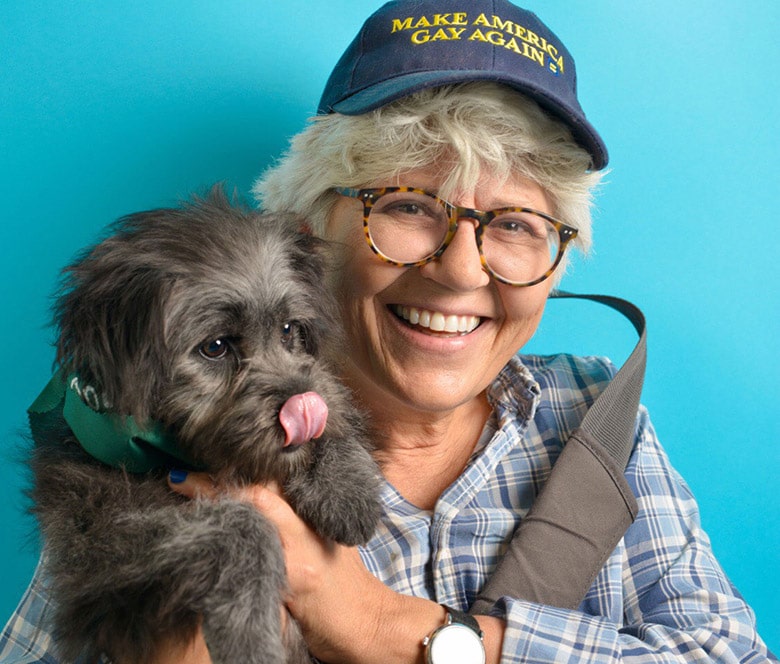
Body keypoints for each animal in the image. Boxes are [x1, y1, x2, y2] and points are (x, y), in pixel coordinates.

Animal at [29, 187, 382, 664]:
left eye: (289, 329)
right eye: (215, 347)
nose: (306, 407)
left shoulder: (326, 389)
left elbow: (340, 414)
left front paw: (347, 488)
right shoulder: (101, 538)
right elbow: (241, 524)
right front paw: (250, 635)